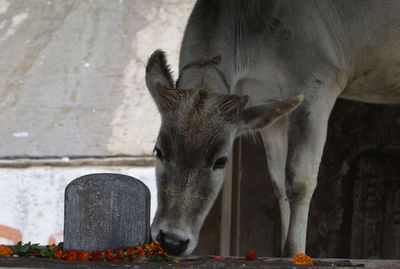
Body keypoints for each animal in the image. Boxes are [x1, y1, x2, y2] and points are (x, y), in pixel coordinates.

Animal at [145, 0, 400, 255]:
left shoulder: (316, 87)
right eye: (158, 151)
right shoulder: (271, 113)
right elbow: (279, 183)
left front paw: (295, 253)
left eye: (221, 161)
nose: (172, 240)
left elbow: (299, 179)